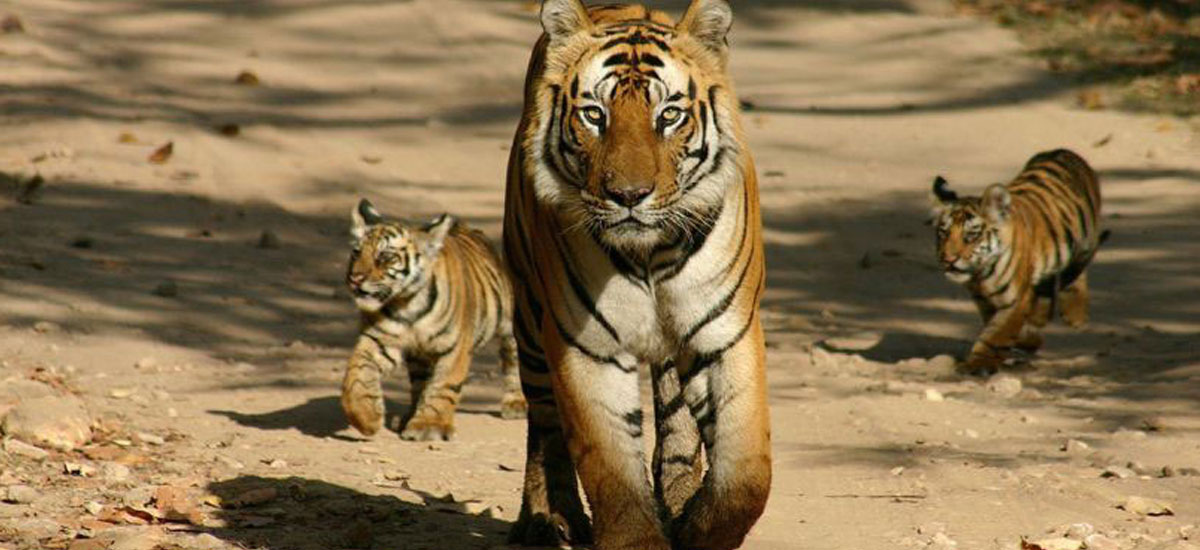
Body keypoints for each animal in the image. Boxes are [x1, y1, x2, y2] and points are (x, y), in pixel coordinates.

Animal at [340, 198, 527, 441]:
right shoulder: (380, 340)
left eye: (385, 257)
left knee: (513, 359)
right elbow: (357, 374)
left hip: (508, 325)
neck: (407, 304)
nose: (354, 278)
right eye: (356, 252)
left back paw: (517, 403)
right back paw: (408, 415)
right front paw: (366, 417)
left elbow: (443, 386)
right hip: (419, 358)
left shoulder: (455, 347)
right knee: (419, 383)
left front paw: (429, 426)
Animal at [502, 1, 770, 549]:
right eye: (594, 115)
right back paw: (547, 519)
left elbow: (746, 477)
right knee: (544, 423)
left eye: (668, 115)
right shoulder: (588, 347)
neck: (651, 253)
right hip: (531, 321)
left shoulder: (725, 334)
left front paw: (695, 529)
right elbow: (613, 479)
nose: (628, 195)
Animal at [931, 148, 1106, 376]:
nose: (948, 259)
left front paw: (977, 364)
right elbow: (1001, 328)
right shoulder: (985, 301)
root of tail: (1062, 151)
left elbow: (995, 336)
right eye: (943, 233)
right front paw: (1030, 338)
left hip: (1087, 240)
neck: (980, 275)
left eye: (971, 236)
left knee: (1078, 270)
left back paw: (1075, 314)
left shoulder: (1014, 300)